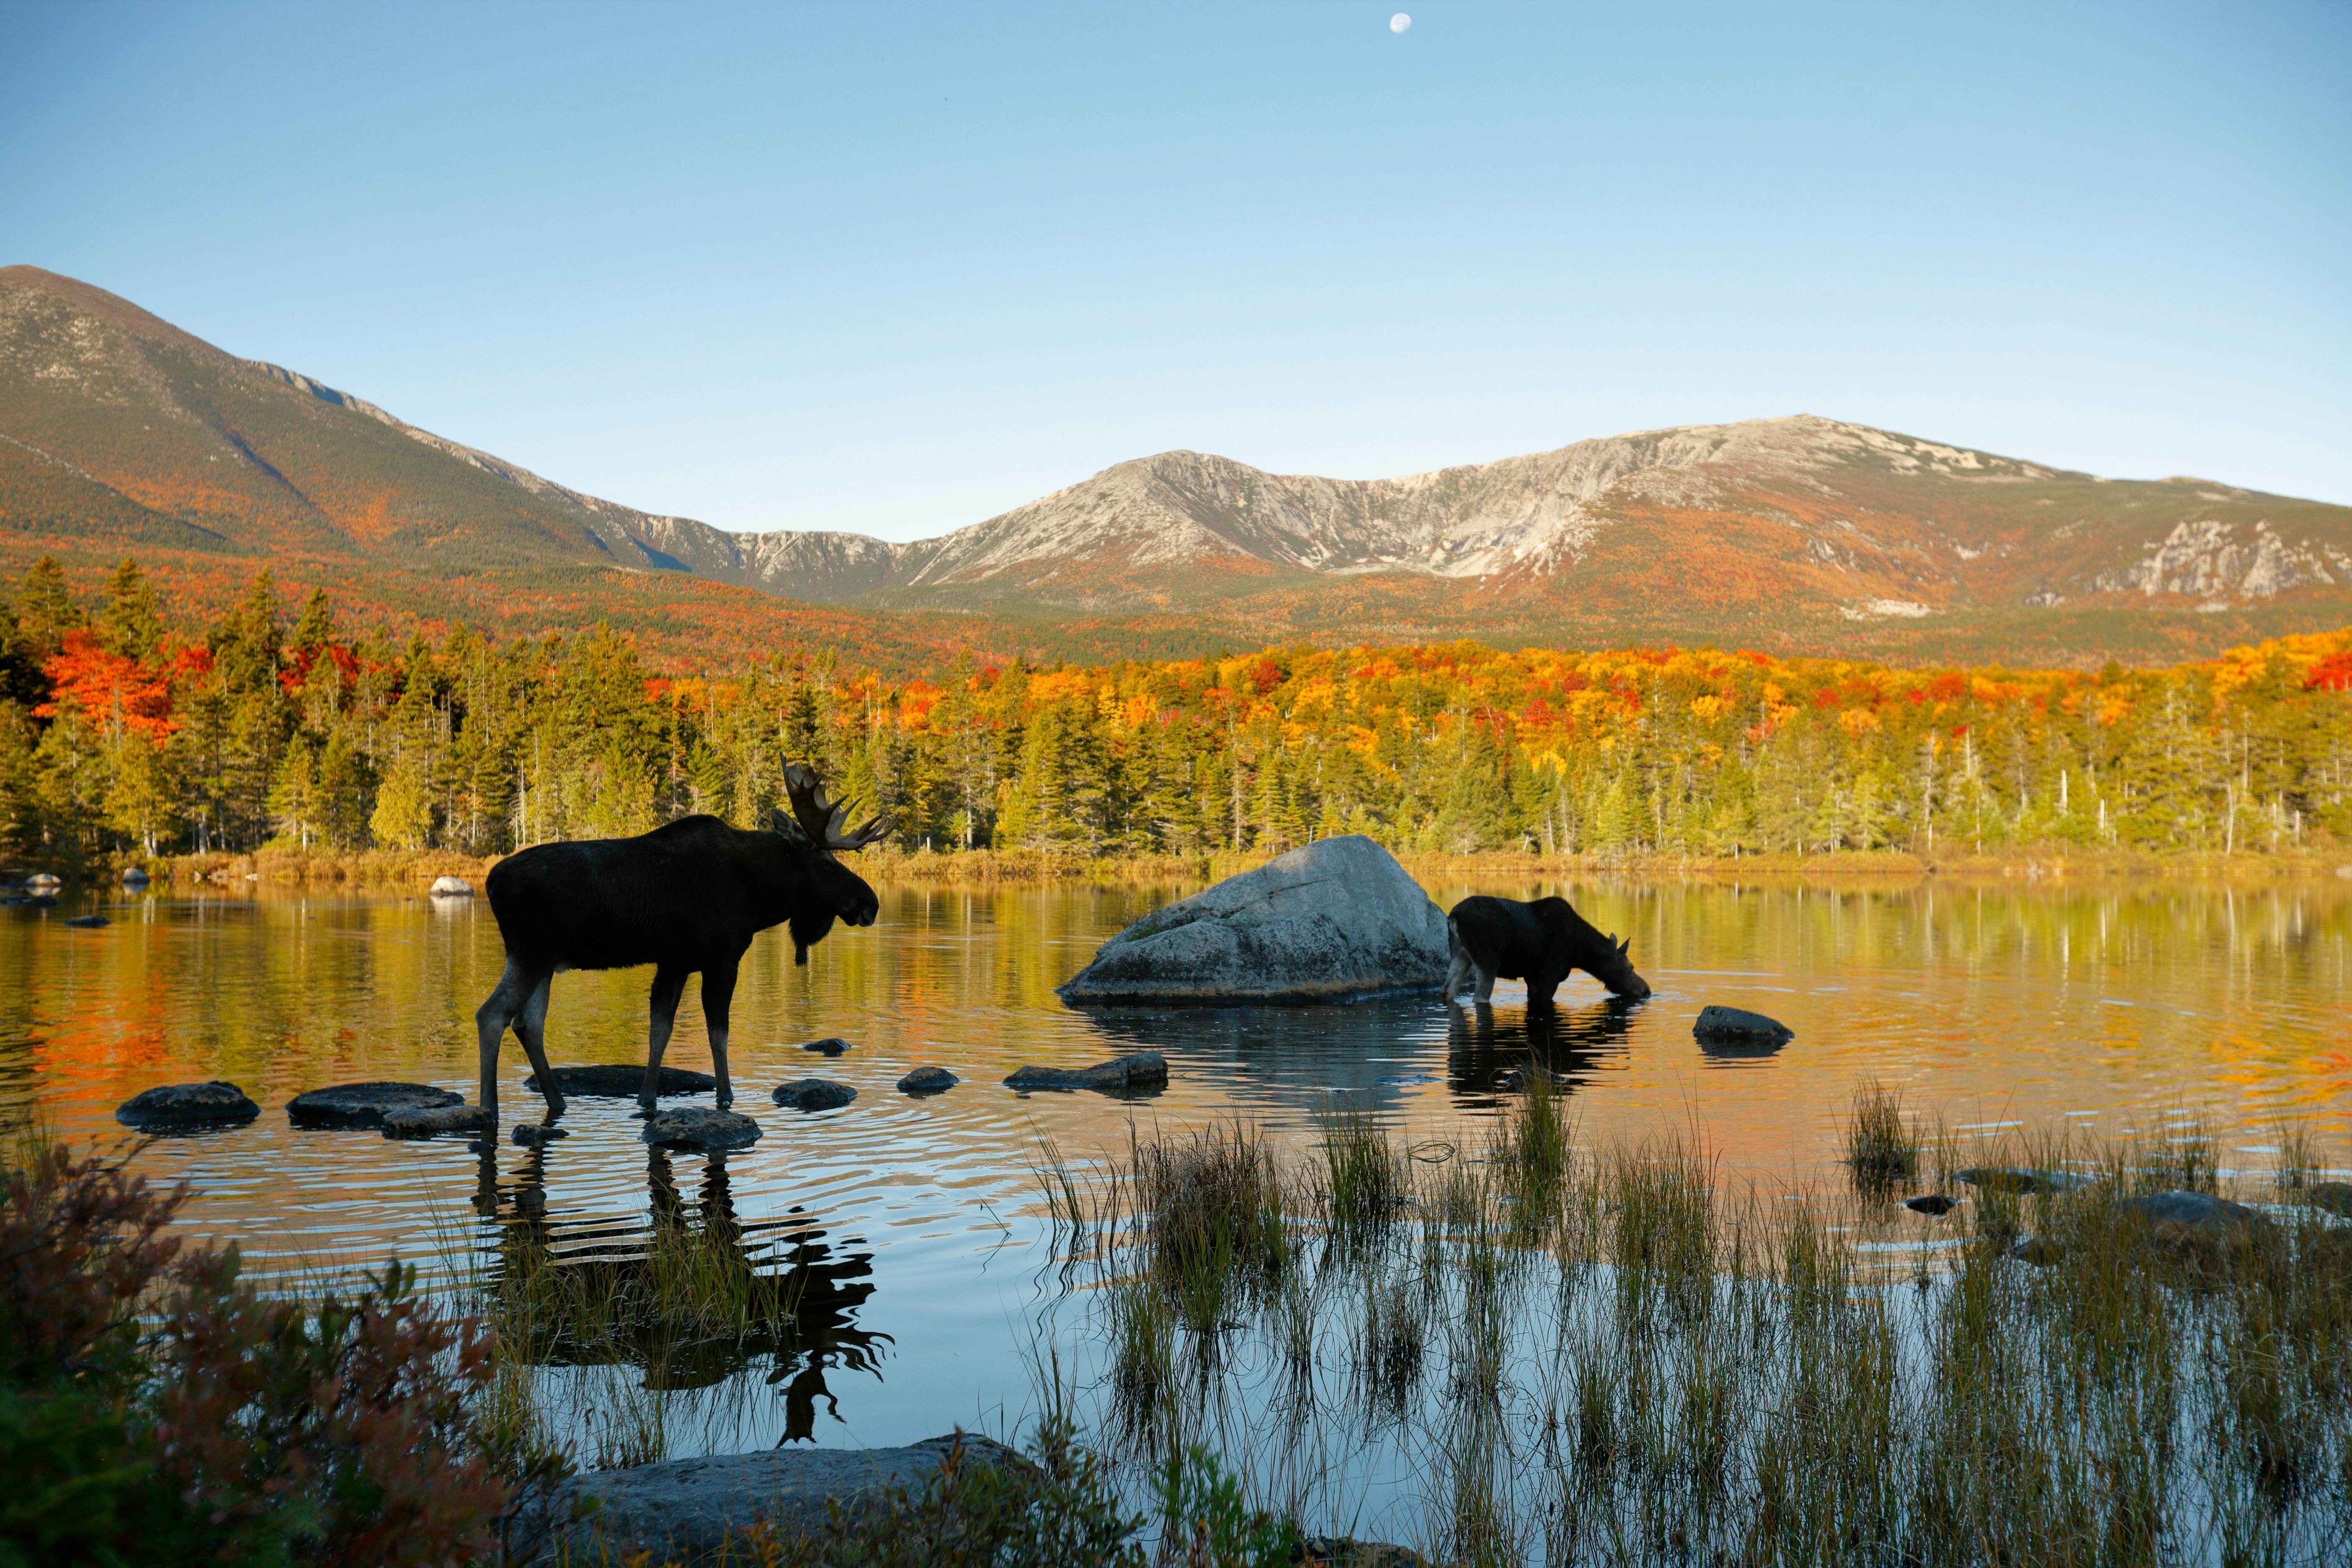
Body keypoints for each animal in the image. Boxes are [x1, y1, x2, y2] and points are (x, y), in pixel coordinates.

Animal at [477, 761, 889, 1124]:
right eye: (825, 865)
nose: (870, 903)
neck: (761, 896)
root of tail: (491, 881)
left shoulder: (674, 962)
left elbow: (660, 1031)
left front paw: (646, 1098)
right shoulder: (722, 958)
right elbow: (718, 1034)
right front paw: (726, 1097)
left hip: (545, 962)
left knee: (529, 1024)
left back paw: (557, 1101)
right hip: (532, 953)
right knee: (492, 1015)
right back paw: (489, 1108)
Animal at [1430, 893, 1656, 1006]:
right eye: (1631, 967)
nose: (1647, 990)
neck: (1580, 954)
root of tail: (1454, 917)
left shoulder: (1531, 976)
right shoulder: (1550, 973)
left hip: (1459, 955)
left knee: (1447, 990)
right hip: (1488, 960)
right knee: (1480, 997)